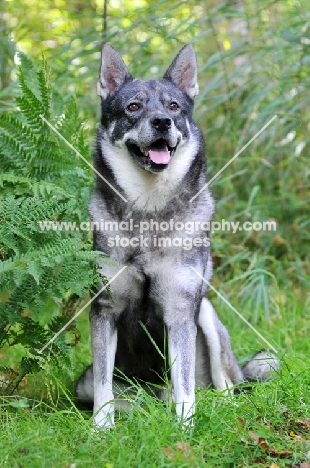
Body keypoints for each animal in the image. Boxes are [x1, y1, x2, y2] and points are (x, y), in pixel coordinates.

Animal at [76, 44, 280, 428]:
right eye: (133, 107)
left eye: (173, 107)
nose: (162, 122)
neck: (149, 210)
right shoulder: (105, 310)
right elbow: (103, 387)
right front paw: (101, 428)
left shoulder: (181, 311)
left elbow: (184, 385)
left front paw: (185, 428)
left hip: (208, 316)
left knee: (223, 385)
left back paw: (221, 405)